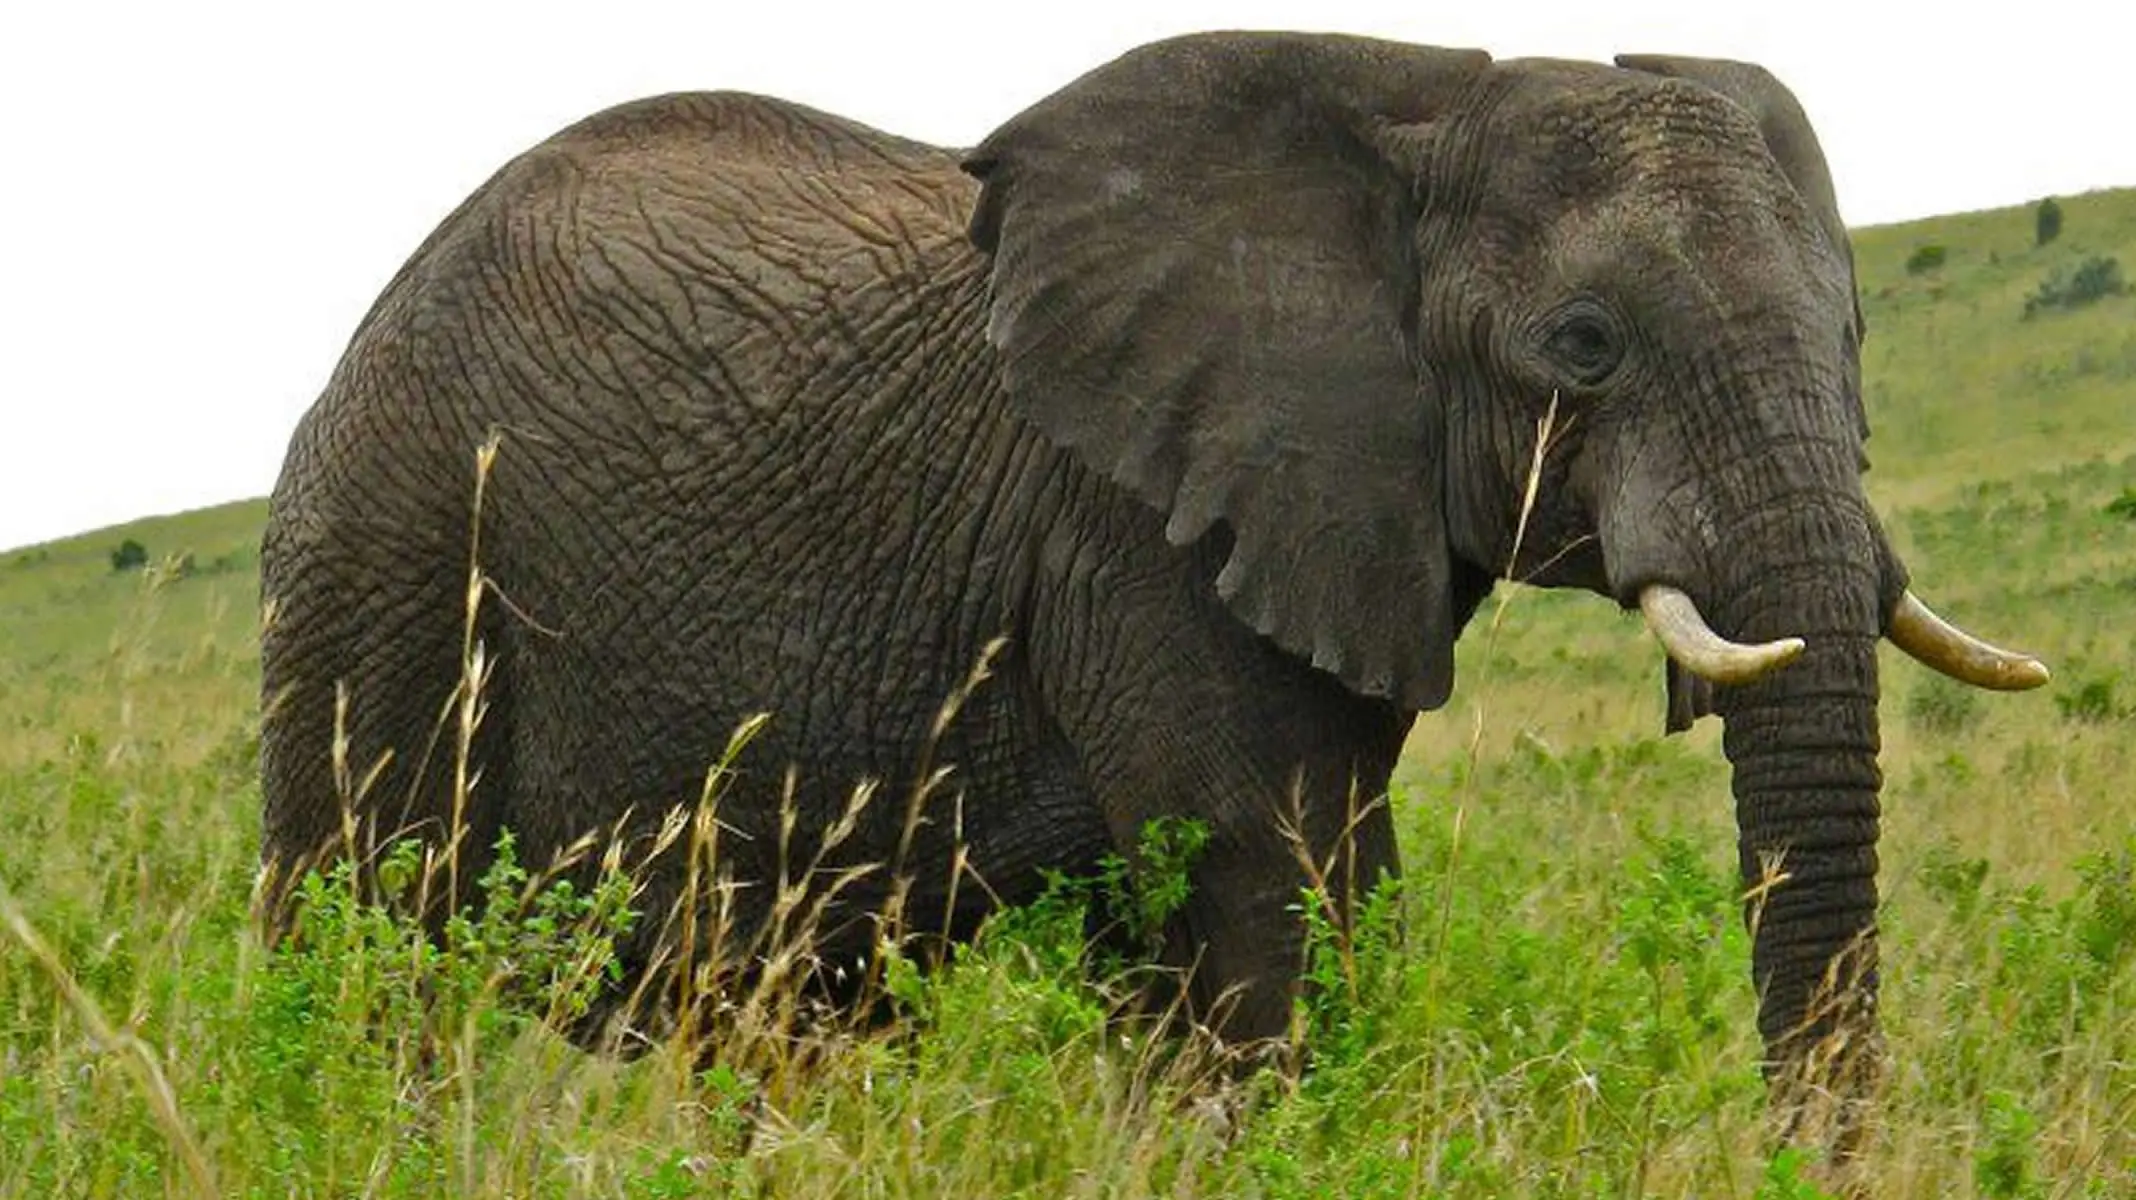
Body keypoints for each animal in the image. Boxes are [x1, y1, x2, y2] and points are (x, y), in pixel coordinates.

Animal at [258, 31, 2047, 1139]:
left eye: (1851, 338)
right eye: (1584, 348)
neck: (1429, 105)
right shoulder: (1136, 530)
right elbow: (1272, 896)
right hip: (379, 556)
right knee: (362, 955)